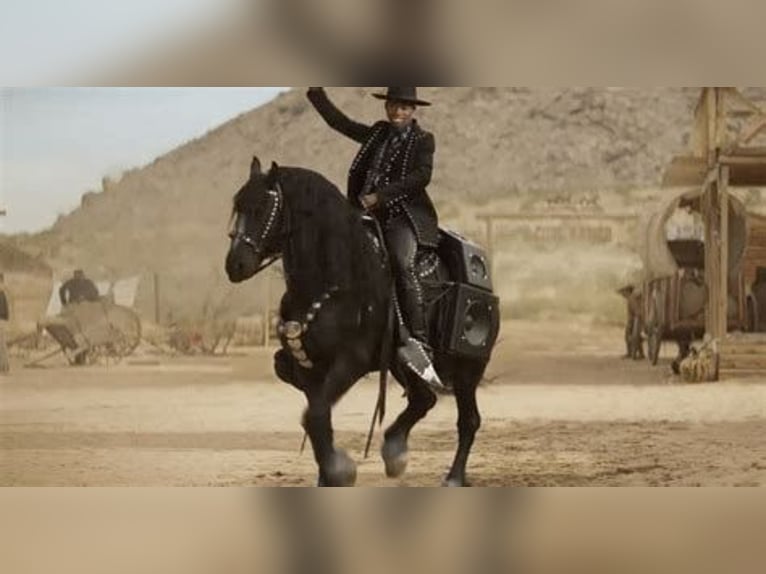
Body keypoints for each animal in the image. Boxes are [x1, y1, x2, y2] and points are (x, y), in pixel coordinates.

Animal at [225, 157, 498, 486]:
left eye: (262, 208)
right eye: (238, 205)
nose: (235, 264)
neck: (332, 279)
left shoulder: (351, 361)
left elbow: (314, 416)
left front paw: (340, 470)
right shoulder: (308, 368)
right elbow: (317, 417)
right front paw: (329, 473)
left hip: (468, 368)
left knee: (468, 420)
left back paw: (454, 476)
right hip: (401, 365)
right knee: (424, 400)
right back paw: (395, 452)